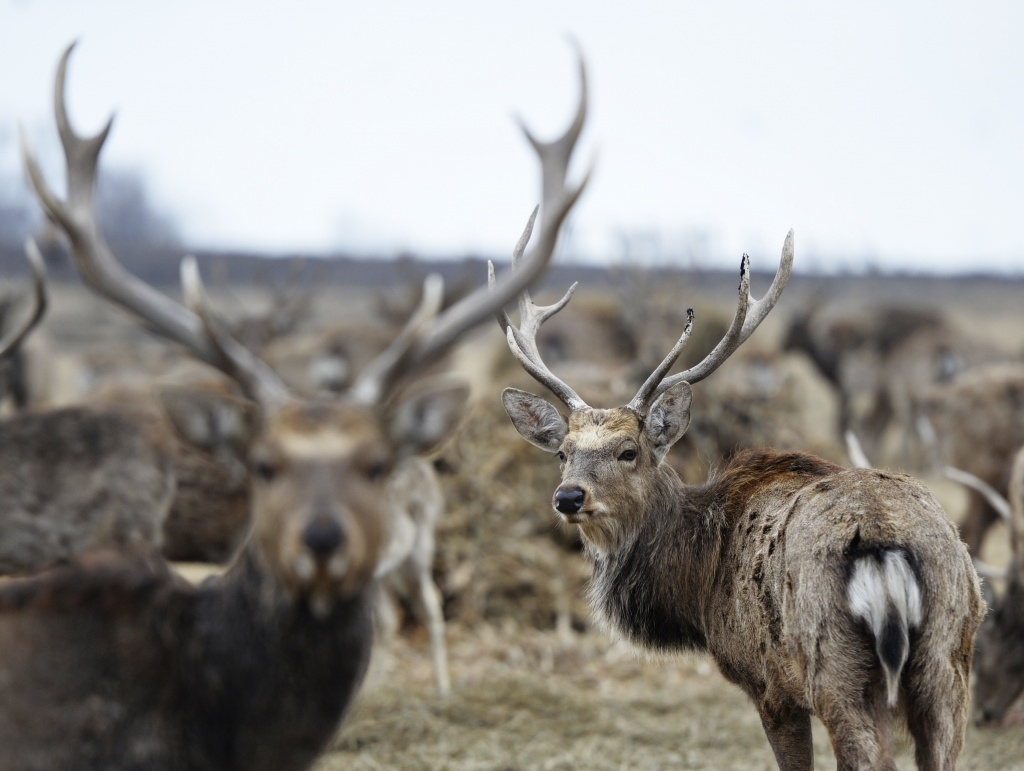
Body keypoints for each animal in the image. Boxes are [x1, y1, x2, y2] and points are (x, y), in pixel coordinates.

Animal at [495, 236, 983, 769]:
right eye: (563, 452)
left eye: (629, 451)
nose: (568, 496)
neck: (698, 586)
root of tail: (887, 544)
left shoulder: (768, 684)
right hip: (948, 665)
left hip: (836, 669)